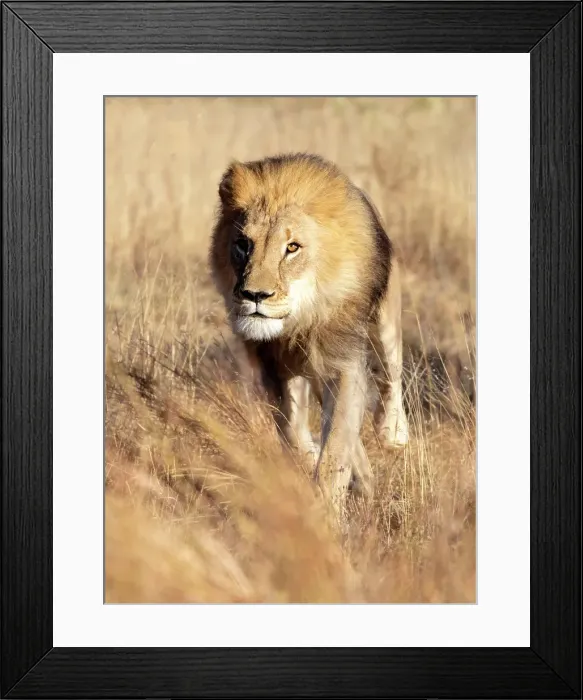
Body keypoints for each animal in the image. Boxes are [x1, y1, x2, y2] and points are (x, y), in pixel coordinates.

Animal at [209, 153, 408, 513]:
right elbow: (293, 431)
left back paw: (393, 431)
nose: (254, 295)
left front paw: (327, 510)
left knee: (391, 372)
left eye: (292, 248)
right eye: (243, 244)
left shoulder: (344, 364)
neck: (301, 321)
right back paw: (364, 481)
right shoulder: (277, 369)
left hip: (385, 319)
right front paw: (311, 455)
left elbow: (336, 447)